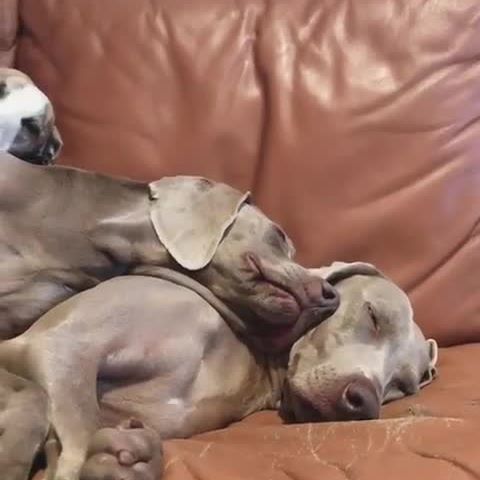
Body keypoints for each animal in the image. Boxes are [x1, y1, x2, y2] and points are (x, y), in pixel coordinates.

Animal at [0, 262, 438, 480]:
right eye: (373, 316)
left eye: (401, 385)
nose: (363, 401)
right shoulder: (60, 345)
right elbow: (76, 438)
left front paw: (125, 462)